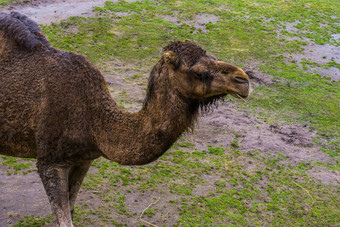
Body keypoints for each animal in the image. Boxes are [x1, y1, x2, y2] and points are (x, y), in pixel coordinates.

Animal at [0, 11, 250, 226]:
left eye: (213, 57)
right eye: (198, 73)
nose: (244, 81)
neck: (94, 121)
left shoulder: (84, 158)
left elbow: (71, 208)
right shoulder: (50, 161)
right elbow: (64, 219)